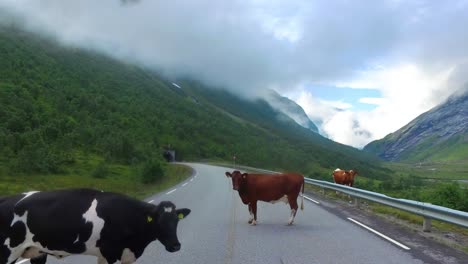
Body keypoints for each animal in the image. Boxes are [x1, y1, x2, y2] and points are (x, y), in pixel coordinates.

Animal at [0, 189, 190, 262]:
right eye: (159, 221)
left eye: (176, 221)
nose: (176, 246)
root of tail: (5, 199)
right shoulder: (110, 253)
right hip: (8, 252)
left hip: (36, 253)